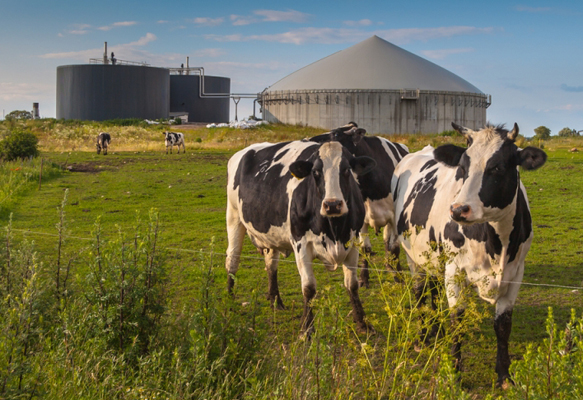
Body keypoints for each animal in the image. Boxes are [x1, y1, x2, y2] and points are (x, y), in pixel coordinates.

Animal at [226, 139, 376, 332]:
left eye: (346, 170)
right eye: (315, 172)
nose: (332, 205)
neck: (334, 230)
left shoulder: (353, 242)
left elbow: (352, 285)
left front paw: (363, 323)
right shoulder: (301, 244)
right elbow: (309, 287)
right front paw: (306, 328)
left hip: (270, 236)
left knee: (271, 265)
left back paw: (275, 301)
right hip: (233, 217)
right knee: (232, 260)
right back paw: (229, 301)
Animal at [310, 123, 410, 286]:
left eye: (336, 134)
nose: (310, 140)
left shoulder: (395, 217)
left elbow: (394, 247)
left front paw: (398, 276)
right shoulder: (361, 219)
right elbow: (365, 249)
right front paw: (364, 277)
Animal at [392, 122, 548, 384]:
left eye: (497, 167)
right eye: (462, 168)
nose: (458, 210)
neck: (497, 245)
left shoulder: (516, 274)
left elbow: (503, 325)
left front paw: (504, 375)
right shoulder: (455, 271)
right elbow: (458, 321)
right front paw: (454, 374)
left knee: (434, 290)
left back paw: (436, 330)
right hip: (413, 256)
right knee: (420, 292)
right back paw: (423, 336)